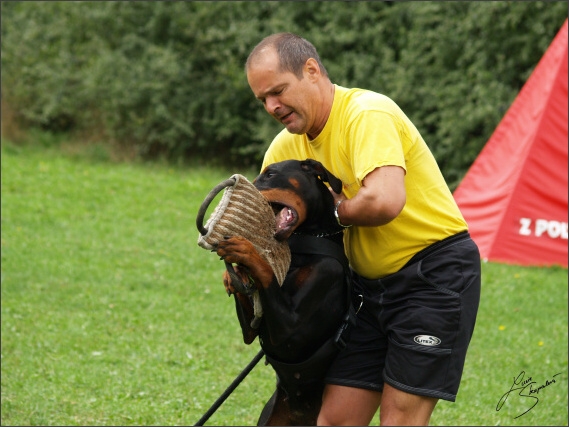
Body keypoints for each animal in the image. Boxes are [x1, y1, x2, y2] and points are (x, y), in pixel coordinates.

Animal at [216, 159, 352, 426]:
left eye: (270, 174)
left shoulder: (291, 328)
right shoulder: (252, 329)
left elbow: (266, 269)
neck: (304, 246)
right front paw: (233, 274)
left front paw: (245, 250)